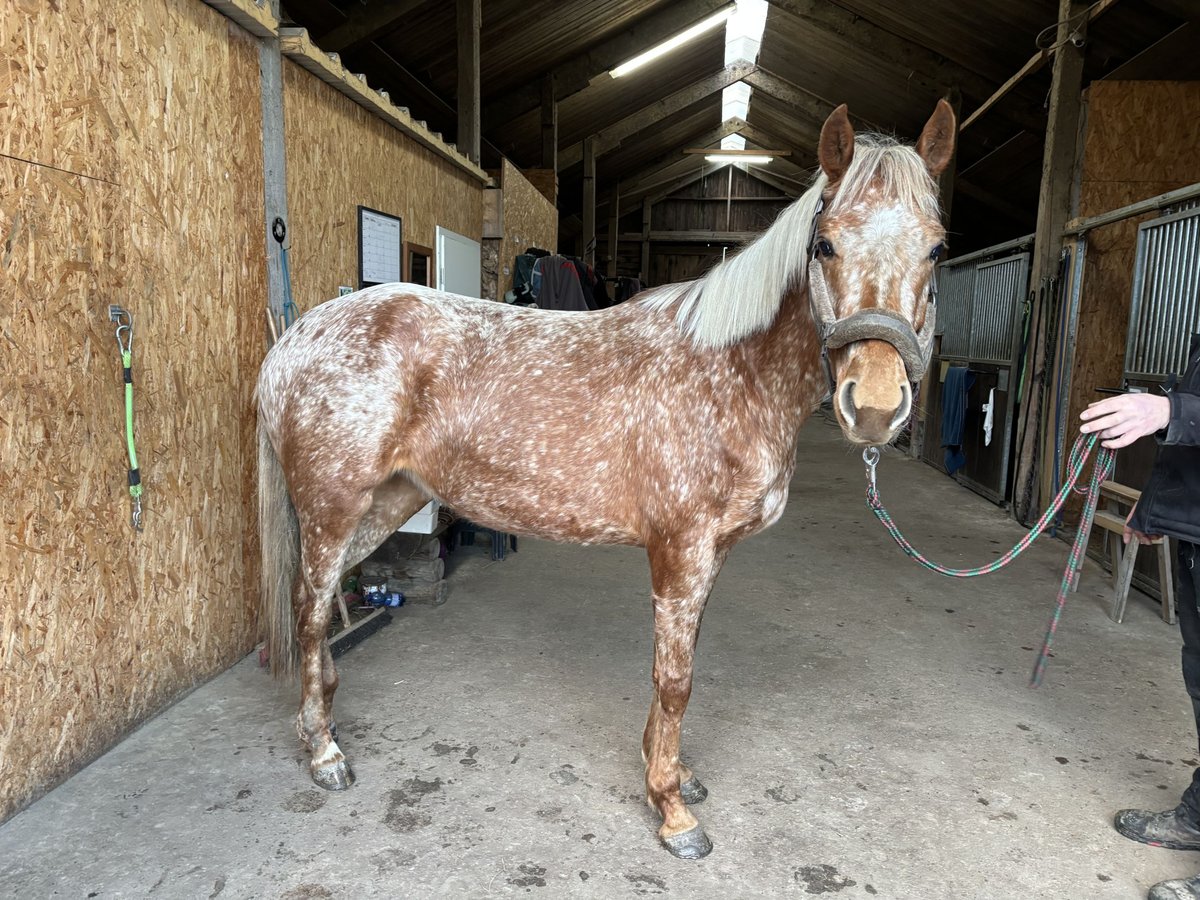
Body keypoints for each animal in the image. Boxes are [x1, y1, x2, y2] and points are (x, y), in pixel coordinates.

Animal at [255, 100, 955, 859]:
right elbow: (675, 680)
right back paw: (324, 753)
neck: (728, 374)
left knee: (314, 608)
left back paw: (319, 723)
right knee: (310, 609)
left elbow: (680, 667)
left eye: (936, 249)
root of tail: (296, 338)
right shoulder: (680, 551)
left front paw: (671, 775)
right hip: (332, 508)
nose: (877, 406)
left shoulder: (708, 556)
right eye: (824, 244)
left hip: (385, 504)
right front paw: (673, 812)